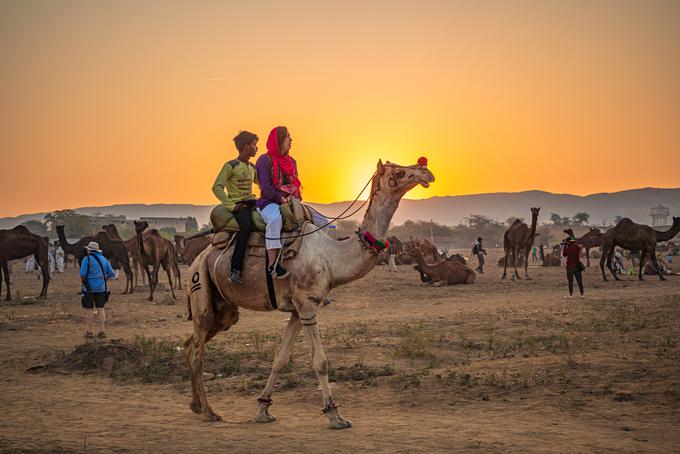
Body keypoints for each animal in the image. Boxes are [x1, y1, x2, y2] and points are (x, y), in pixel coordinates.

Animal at [183, 160, 432, 430]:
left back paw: (195, 405)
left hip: (225, 311)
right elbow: (320, 362)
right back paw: (209, 412)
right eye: (398, 172)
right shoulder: (307, 305)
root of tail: (199, 256)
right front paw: (335, 416)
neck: (332, 258)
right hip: (201, 285)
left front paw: (263, 410)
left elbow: (280, 359)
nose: (426, 171)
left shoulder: (296, 310)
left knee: (191, 345)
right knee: (198, 351)